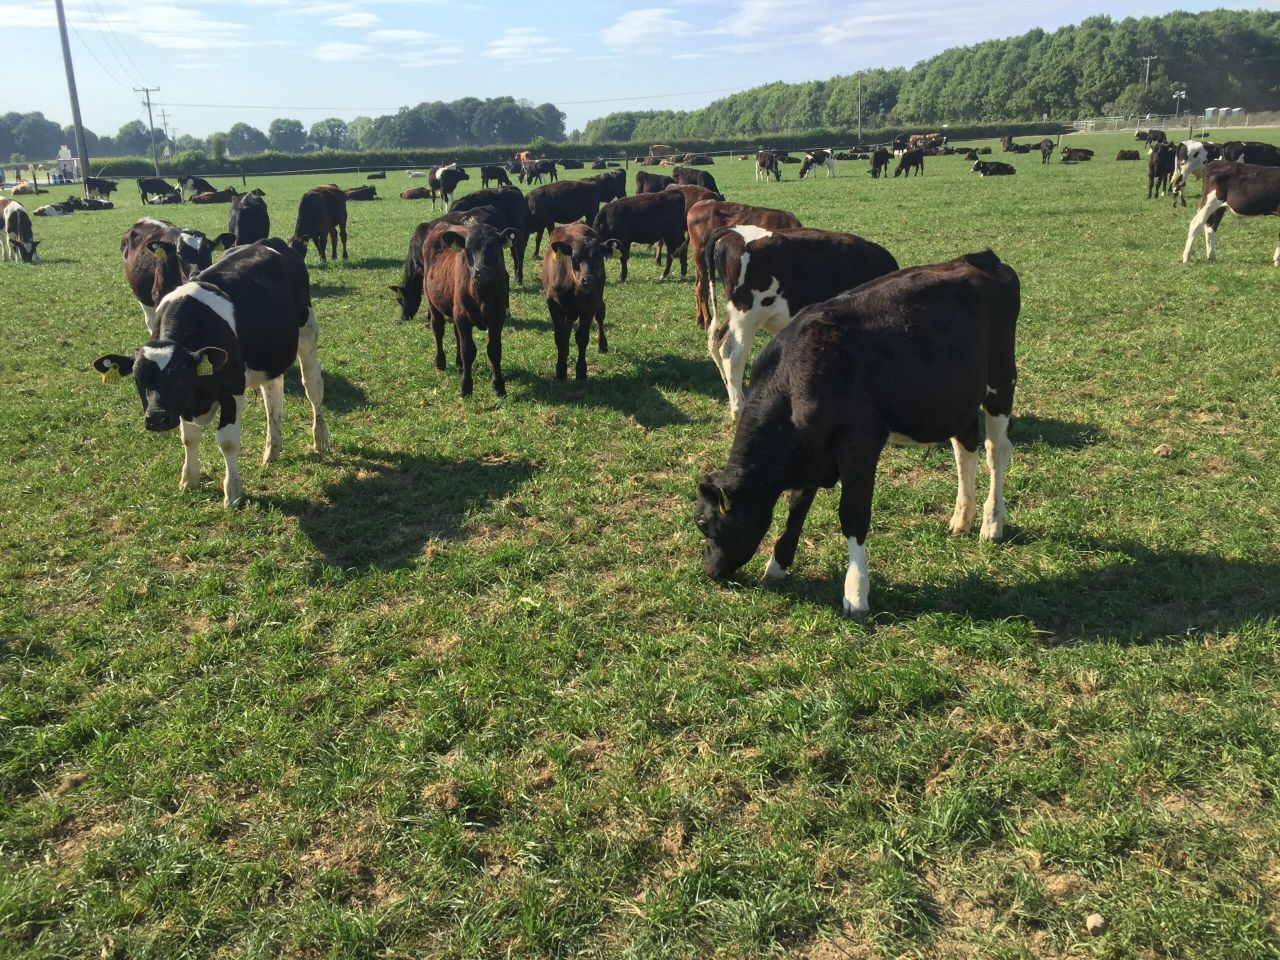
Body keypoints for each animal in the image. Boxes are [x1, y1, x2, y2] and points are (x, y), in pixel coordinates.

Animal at [92, 239, 329, 507]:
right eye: (138, 379)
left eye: (181, 376)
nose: (157, 418)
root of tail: (269, 242)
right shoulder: (183, 403)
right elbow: (189, 438)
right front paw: (189, 479)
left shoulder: (232, 390)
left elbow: (227, 441)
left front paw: (233, 492)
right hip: (269, 356)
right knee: (273, 396)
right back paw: (272, 449)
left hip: (307, 333)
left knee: (313, 386)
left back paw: (320, 439)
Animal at [421, 220, 516, 397]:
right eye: (468, 249)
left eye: (495, 248)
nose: (482, 271)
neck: (482, 296)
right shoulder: (463, 318)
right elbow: (468, 351)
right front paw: (466, 386)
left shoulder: (498, 317)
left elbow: (495, 350)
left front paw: (499, 386)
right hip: (432, 302)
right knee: (438, 329)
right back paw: (440, 361)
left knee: (456, 334)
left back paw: (459, 364)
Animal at [540, 223, 621, 380]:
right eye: (575, 258)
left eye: (598, 257)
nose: (587, 280)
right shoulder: (553, 304)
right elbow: (560, 336)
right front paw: (561, 369)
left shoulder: (591, 304)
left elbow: (582, 337)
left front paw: (581, 370)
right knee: (567, 327)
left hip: (599, 296)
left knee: (600, 315)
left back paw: (602, 345)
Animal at [687, 200, 801, 329]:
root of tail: (698, 205)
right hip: (701, 256)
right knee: (703, 288)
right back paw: (707, 320)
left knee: (697, 286)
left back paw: (700, 319)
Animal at [693, 250, 1019, 616]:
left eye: (703, 524)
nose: (708, 570)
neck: (797, 376)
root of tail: (981, 259)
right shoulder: (810, 450)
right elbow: (797, 506)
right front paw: (776, 566)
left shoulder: (859, 446)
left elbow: (852, 515)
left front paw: (856, 592)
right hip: (958, 397)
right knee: (965, 448)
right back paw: (962, 518)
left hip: (1001, 381)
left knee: (996, 452)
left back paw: (992, 523)